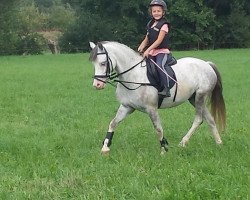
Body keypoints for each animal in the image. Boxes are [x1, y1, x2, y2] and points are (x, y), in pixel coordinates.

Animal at [89, 40, 226, 153]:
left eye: (103, 63)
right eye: (93, 63)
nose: (97, 85)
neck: (133, 75)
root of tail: (207, 64)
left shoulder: (151, 109)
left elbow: (158, 129)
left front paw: (164, 149)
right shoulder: (127, 107)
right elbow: (113, 123)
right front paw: (105, 147)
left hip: (200, 97)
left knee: (198, 119)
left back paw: (183, 142)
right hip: (194, 99)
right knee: (210, 119)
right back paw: (219, 143)